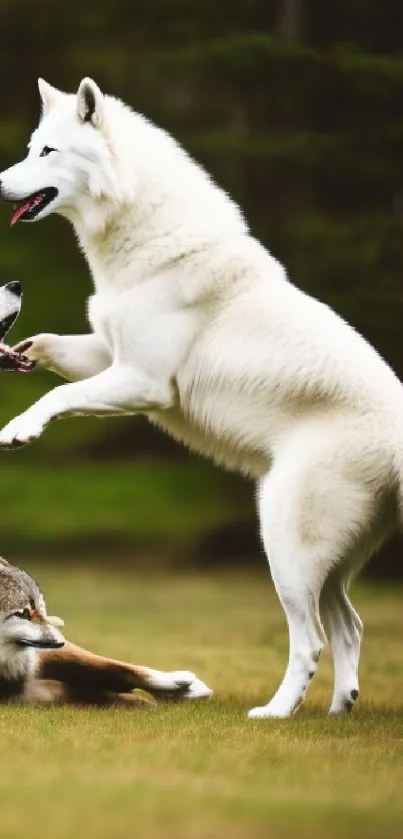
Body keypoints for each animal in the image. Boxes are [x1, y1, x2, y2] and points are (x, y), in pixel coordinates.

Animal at [0, 79, 403, 720]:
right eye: (31, 148)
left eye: (47, 152)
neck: (146, 245)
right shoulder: (108, 356)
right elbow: (50, 351)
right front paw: (19, 352)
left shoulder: (141, 382)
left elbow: (62, 393)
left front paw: (18, 429)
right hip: (329, 565)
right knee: (351, 628)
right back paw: (339, 712)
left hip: (285, 549)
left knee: (311, 639)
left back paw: (275, 714)